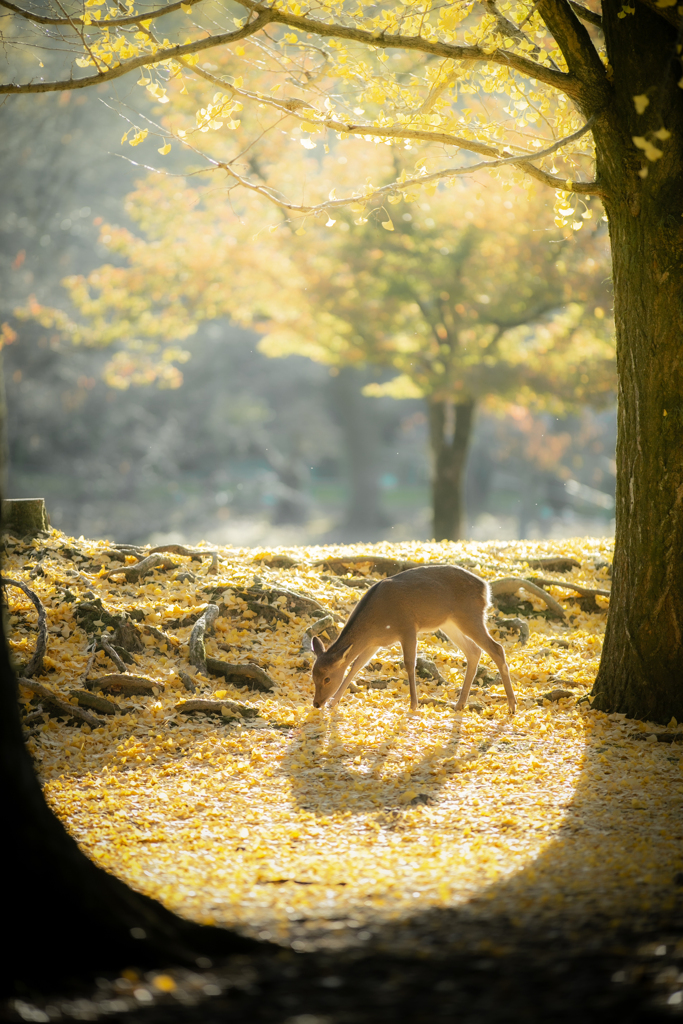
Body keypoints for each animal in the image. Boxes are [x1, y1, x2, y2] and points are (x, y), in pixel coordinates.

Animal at [313, 565, 516, 716]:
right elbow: (356, 665)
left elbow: (410, 663)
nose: (316, 703)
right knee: (474, 651)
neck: (377, 621)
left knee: (496, 648)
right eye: (313, 676)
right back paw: (459, 704)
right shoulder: (375, 642)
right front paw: (334, 702)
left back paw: (512, 705)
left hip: (470, 615)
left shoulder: (408, 627)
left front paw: (413, 704)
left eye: (327, 678)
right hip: (449, 623)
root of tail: (486, 588)